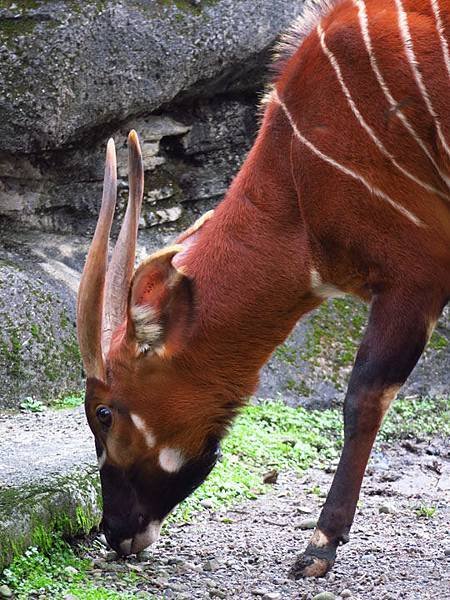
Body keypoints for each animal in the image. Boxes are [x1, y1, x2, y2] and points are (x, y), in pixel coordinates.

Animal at [77, 0, 450, 576]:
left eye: (104, 412)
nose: (114, 532)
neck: (297, 187)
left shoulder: (416, 276)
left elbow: (363, 397)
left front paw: (318, 548)